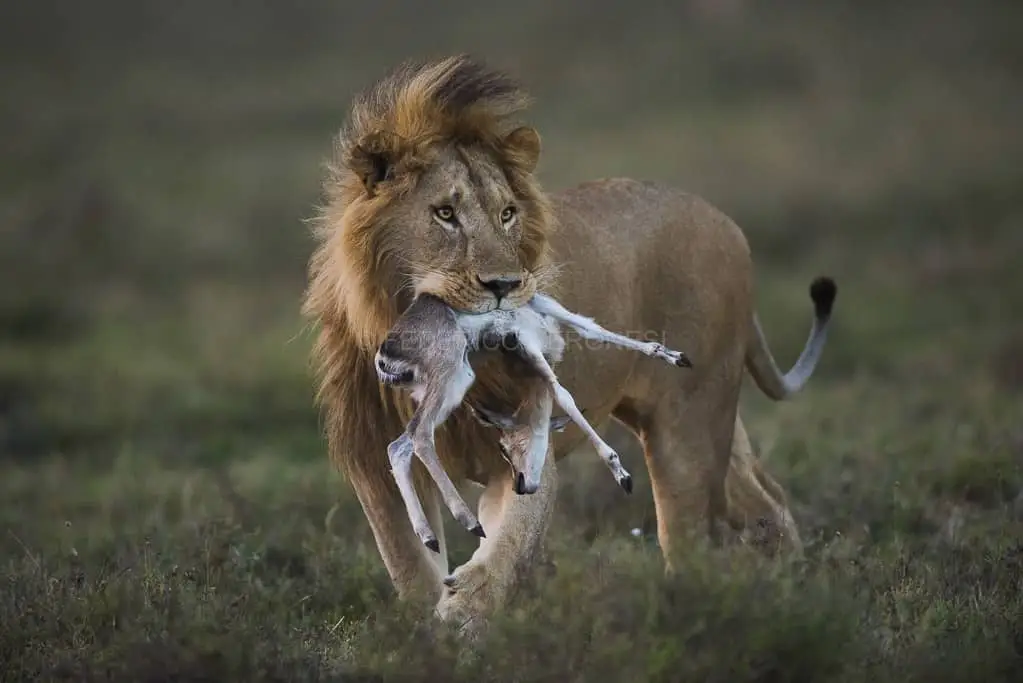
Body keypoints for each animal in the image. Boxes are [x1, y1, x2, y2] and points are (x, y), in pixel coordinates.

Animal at [301, 55, 837, 636]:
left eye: (507, 214)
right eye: (444, 213)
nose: (505, 285)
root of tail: (728, 224)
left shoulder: (518, 443)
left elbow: (509, 544)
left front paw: (463, 614)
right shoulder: (370, 450)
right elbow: (406, 557)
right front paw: (428, 622)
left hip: (686, 431)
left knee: (691, 539)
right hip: (708, 415)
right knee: (765, 500)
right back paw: (790, 593)